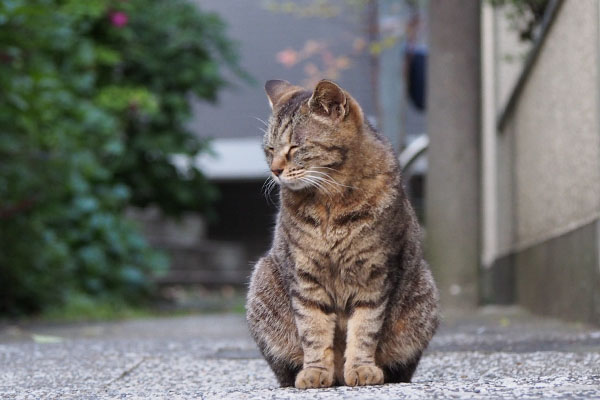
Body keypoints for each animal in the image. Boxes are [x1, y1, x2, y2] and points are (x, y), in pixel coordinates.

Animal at [246, 79, 438, 390]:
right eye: (270, 149)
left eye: (295, 147)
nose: (274, 170)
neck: (330, 201)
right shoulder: (305, 276)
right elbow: (312, 329)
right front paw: (315, 372)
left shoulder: (374, 275)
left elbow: (364, 329)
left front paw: (361, 369)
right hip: (262, 281)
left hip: (422, 293)